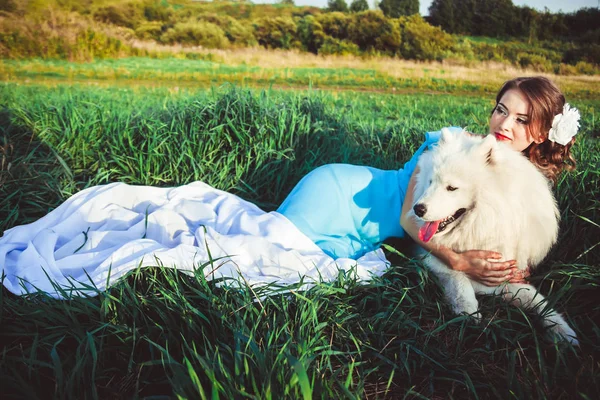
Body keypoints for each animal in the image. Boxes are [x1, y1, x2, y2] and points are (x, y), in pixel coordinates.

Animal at [412, 128, 576, 344]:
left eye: (452, 188)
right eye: (430, 182)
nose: (417, 209)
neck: (484, 223)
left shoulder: (506, 277)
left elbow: (538, 300)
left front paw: (563, 331)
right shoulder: (431, 258)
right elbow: (457, 279)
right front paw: (468, 310)